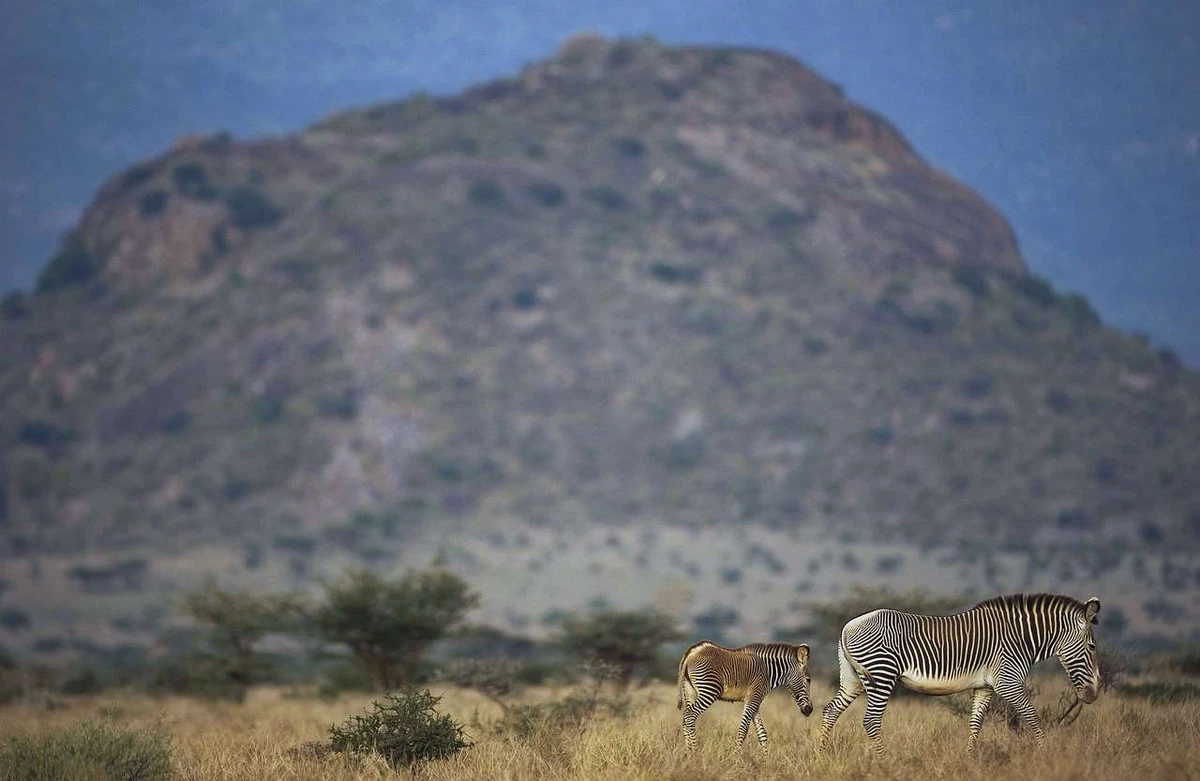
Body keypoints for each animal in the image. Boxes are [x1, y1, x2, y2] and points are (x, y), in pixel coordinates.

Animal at [677, 639, 813, 750]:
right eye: (808, 680)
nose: (810, 710)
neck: (767, 672)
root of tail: (691, 652)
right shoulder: (753, 698)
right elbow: (743, 731)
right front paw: (737, 760)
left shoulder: (755, 700)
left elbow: (762, 733)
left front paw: (766, 761)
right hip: (709, 690)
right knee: (690, 716)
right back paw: (695, 752)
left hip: (689, 691)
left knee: (685, 719)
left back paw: (689, 754)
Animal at [819, 593, 1102, 754]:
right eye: (1092, 647)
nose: (1093, 695)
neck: (1020, 638)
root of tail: (847, 627)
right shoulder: (1008, 680)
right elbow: (1033, 718)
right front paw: (1044, 755)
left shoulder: (984, 686)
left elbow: (975, 723)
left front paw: (969, 759)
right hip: (881, 673)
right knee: (871, 721)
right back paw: (883, 760)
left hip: (854, 679)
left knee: (831, 710)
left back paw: (821, 755)